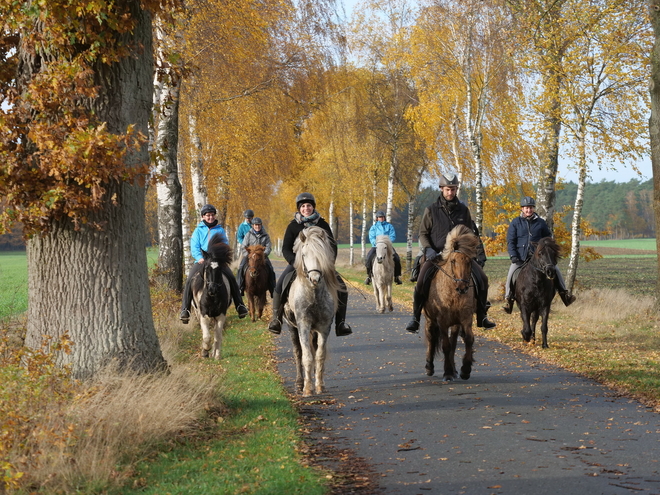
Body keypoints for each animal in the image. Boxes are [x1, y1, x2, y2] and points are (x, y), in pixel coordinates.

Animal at [282, 227, 340, 398]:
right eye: (303, 254)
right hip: (291, 326)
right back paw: (299, 383)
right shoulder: (303, 325)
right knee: (298, 352)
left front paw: (319, 386)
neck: (313, 292)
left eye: (321, 254)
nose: (315, 279)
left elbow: (319, 355)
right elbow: (306, 357)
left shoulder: (324, 327)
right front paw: (307, 389)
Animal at [422, 225, 480, 384]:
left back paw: (454, 370)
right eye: (453, 261)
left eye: (470, 261)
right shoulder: (442, 321)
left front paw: (465, 369)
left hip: (455, 323)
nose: (462, 287)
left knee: (453, 342)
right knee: (431, 338)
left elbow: (468, 339)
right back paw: (429, 367)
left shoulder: (465, 318)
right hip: (430, 319)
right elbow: (445, 345)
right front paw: (447, 373)